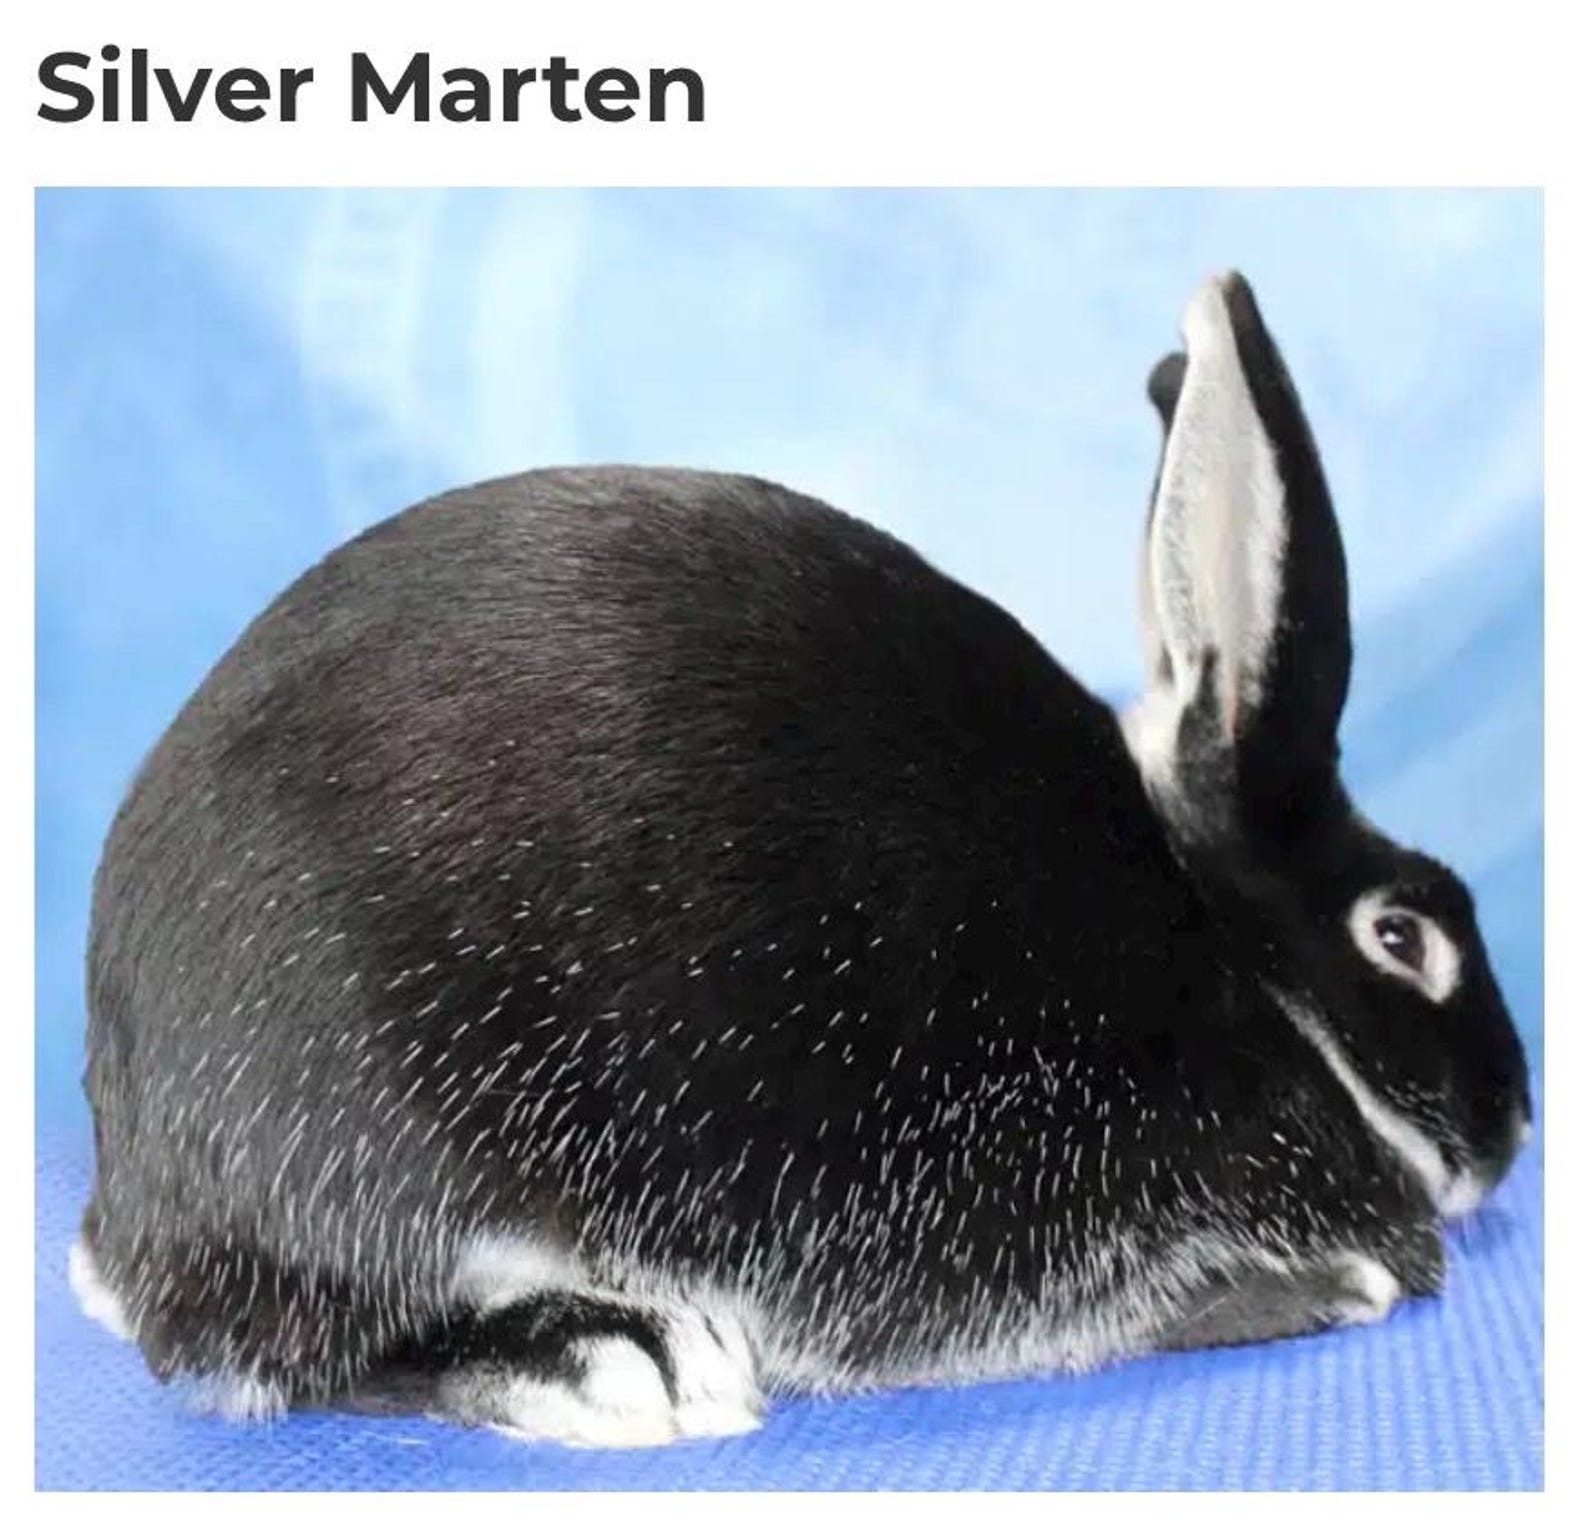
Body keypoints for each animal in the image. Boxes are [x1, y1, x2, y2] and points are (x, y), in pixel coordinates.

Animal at [71, 271, 1532, 1448]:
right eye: (1405, 931)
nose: (1514, 1122)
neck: (1224, 945)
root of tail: (131, 1182)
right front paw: (1328, 1282)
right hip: (386, 1139)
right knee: (296, 1346)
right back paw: (617, 1352)